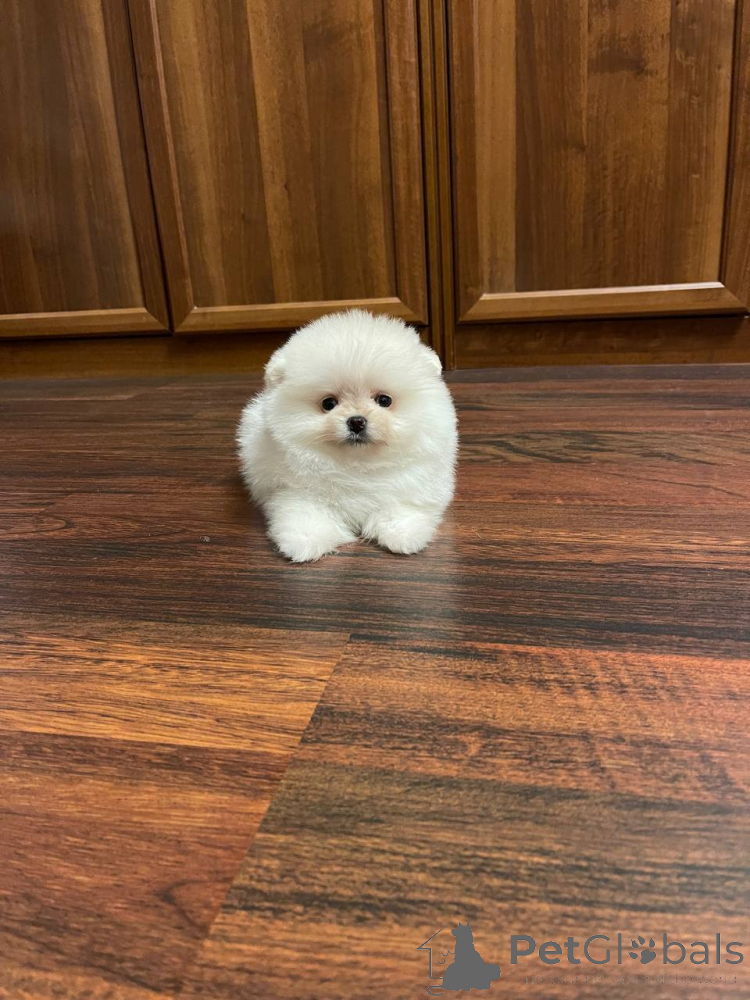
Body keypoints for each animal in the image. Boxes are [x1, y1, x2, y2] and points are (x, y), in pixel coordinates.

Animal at [237, 310, 458, 562]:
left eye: (384, 400)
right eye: (328, 404)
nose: (356, 421)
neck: (357, 465)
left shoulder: (412, 484)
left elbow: (401, 507)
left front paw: (402, 533)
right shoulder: (294, 490)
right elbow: (304, 511)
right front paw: (305, 539)